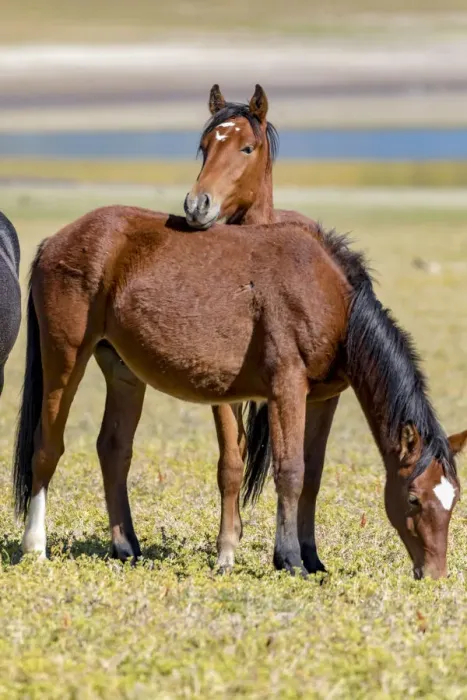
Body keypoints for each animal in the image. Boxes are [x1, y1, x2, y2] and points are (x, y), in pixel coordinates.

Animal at [14, 210, 466, 579]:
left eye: (453, 499)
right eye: (413, 499)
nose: (436, 574)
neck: (329, 296)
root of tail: (56, 241)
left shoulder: (323, 398)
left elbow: (313, 475)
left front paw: (312, 557)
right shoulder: (287, 388)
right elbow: (291, 471)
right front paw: (290, 560)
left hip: (122, 371)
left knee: (114, 450)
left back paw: (127, 548)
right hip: (65, 357)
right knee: (47, 447)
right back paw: (35, 547)